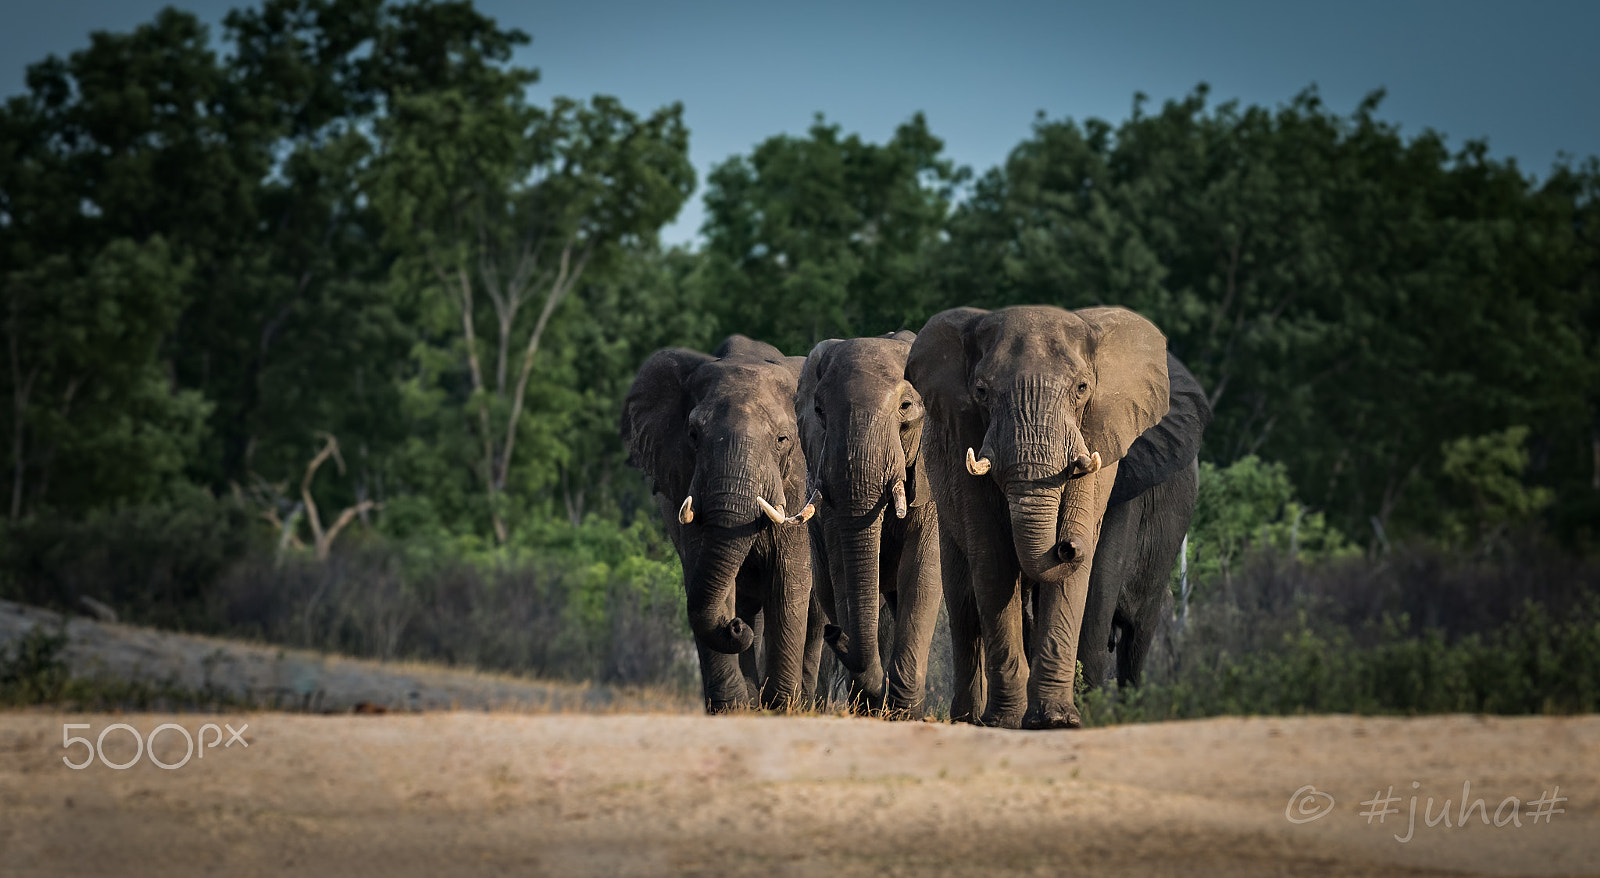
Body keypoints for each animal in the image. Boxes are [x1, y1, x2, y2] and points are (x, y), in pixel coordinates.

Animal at [611, 334, 812, 713]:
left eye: (782, 440)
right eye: (692, 434)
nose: (733, 627)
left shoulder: (802, 484)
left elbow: (789, 579)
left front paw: (780, 707)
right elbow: (706, 575)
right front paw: (732, 708)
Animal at [796, 329, 940, 713]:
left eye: (906, 407)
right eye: (819, 411)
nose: (834, 633)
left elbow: (921, 574)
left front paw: (904, 712)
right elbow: (844, 574)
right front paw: (880, 704)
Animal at [908, 305, 1203, 729]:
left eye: (1082, 388)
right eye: (981, 391)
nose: (1066, 545)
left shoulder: (1103, 449)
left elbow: (1089, 578)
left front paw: (1058, 720)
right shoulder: (964, 443)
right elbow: (994, 560)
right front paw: (1007, 721)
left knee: (1138, 630)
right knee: (964, 606)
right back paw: (969, 718)